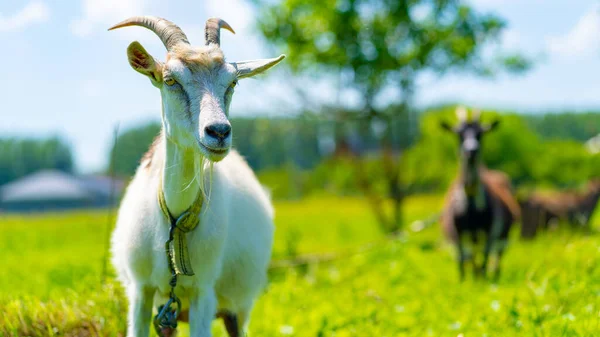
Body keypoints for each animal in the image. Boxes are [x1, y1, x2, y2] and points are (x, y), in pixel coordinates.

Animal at [109, 16, 284, 336]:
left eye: (233, 82)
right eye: (170, 80)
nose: (219, 132)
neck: (175, 220)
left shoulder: (204, 290)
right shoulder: (141, 291)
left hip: (237, 306)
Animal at [438, 108, 524, 280]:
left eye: (480, 134)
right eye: (459, 134)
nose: (472, 150)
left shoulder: (490, 230)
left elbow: (485, 255)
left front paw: (482, 278)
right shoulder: (457, 231)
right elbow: (462, 257)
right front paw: (464, 280)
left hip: (502, 234)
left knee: (496, 254)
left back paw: (493, 275)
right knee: (472, 254)